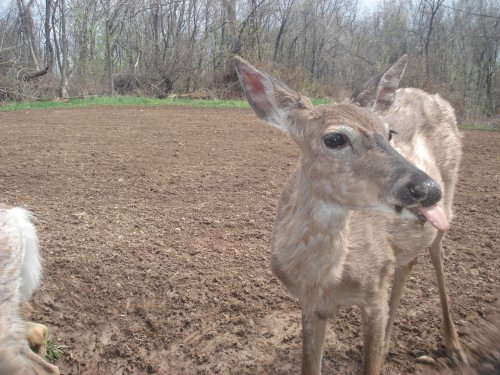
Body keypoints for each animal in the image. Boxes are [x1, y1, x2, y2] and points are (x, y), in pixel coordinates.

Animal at [233, 56, 464, 375]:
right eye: (334, 138)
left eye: (389, 133)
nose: (428, 189)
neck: (324, 279)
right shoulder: (310, 306)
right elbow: (310, 365)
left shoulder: (374, 292)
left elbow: (370, 364)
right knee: (410, 261)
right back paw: (389, 344)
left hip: (448, 201)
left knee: (436, 252)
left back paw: (454, 347)